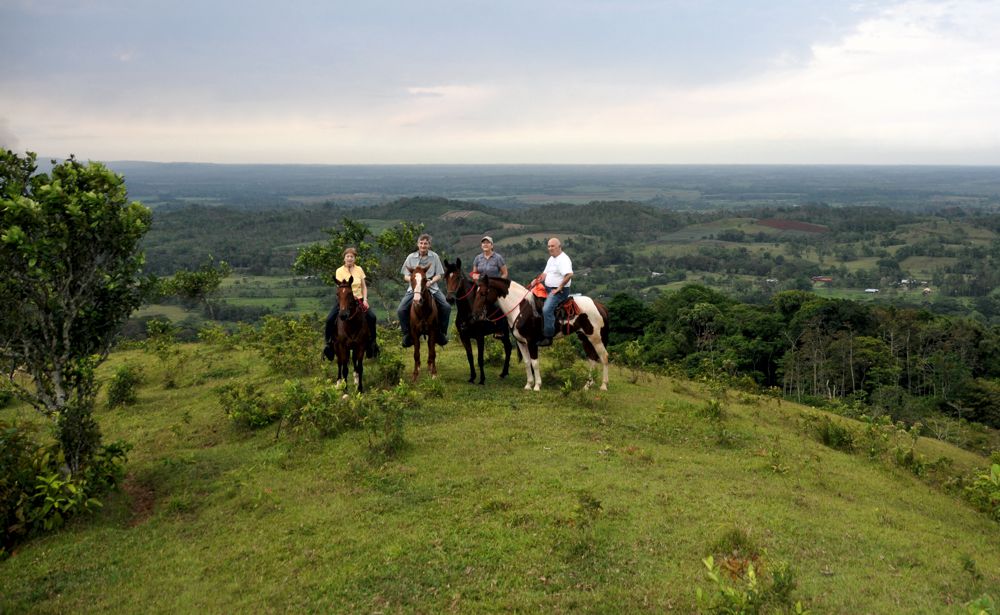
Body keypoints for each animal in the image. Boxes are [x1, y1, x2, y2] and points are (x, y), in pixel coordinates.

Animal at [470, 276, 608, 392]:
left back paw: (603, 385)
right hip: (584, 338)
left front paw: (537, 386)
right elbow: (527, 362)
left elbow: (535, 363)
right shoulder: (521, 342)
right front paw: (528, 384)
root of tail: (600, 306)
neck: (521, 309)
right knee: (592, 359)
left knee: (604, 357)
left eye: (483, 293)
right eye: (476, 292)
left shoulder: (532, 342)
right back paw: (587, 386)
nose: (475, 315)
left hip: (596, 338)